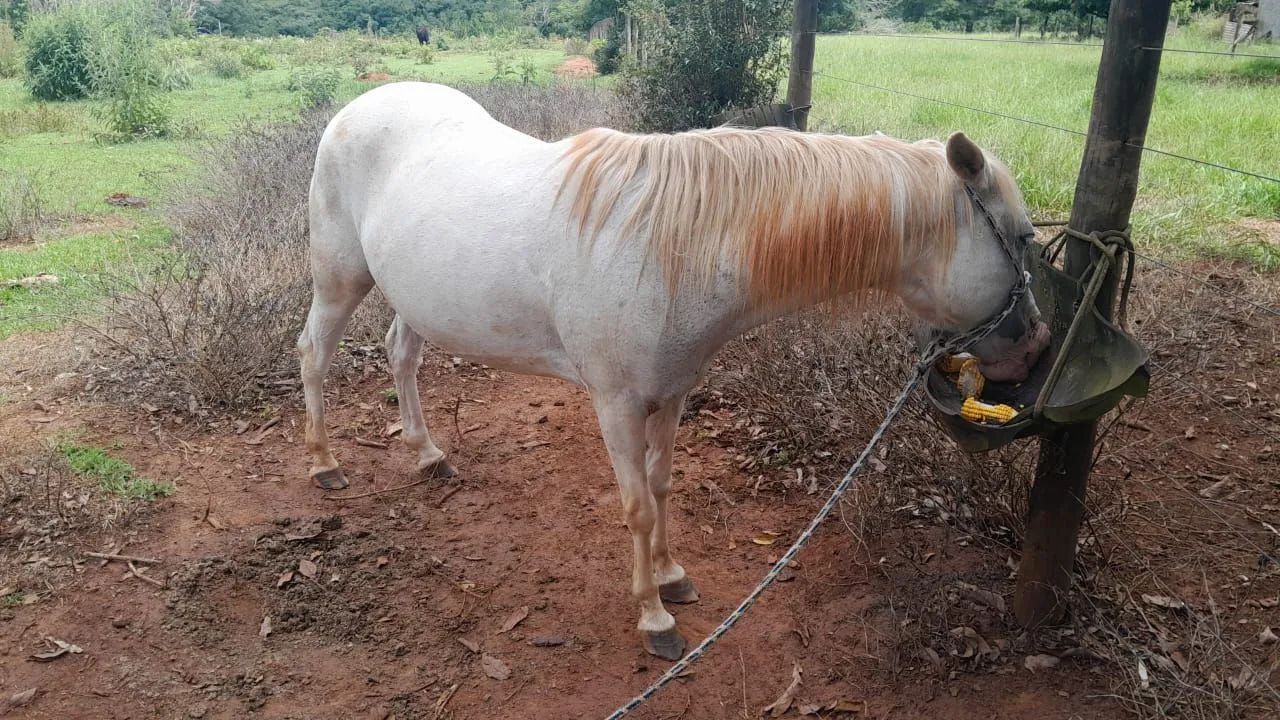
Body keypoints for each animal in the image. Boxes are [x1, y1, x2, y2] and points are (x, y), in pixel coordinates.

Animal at [298, 82, 1050, 660]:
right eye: (1021, 239)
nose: (1036, 346)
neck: (673, 248)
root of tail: (357, 106)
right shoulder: (617, 404)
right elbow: (635, 505)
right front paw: (654, 618)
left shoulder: (673, 393)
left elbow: (661, 487)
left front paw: (671, 576)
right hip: (340, 279)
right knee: (313, 354)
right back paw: (324, 464)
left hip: (412, 298)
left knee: (401, 353)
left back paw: (427, 454)